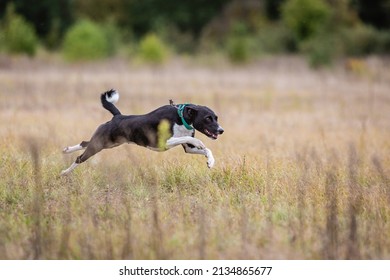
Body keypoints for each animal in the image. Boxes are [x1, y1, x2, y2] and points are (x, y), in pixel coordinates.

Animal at [61, 89, 225, 175]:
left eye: (216, 118)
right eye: (208, 118)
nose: (221, 130)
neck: (181, 117)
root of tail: (117, 116)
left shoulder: (188, 149)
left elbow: (206, 149)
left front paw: (210, 161)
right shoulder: (163, 142)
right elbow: (194, 140)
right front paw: (201, 143)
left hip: (108, 143)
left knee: (84, 143)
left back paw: (67, 149)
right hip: (101, 143)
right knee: (80, 158)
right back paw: (65, 172)